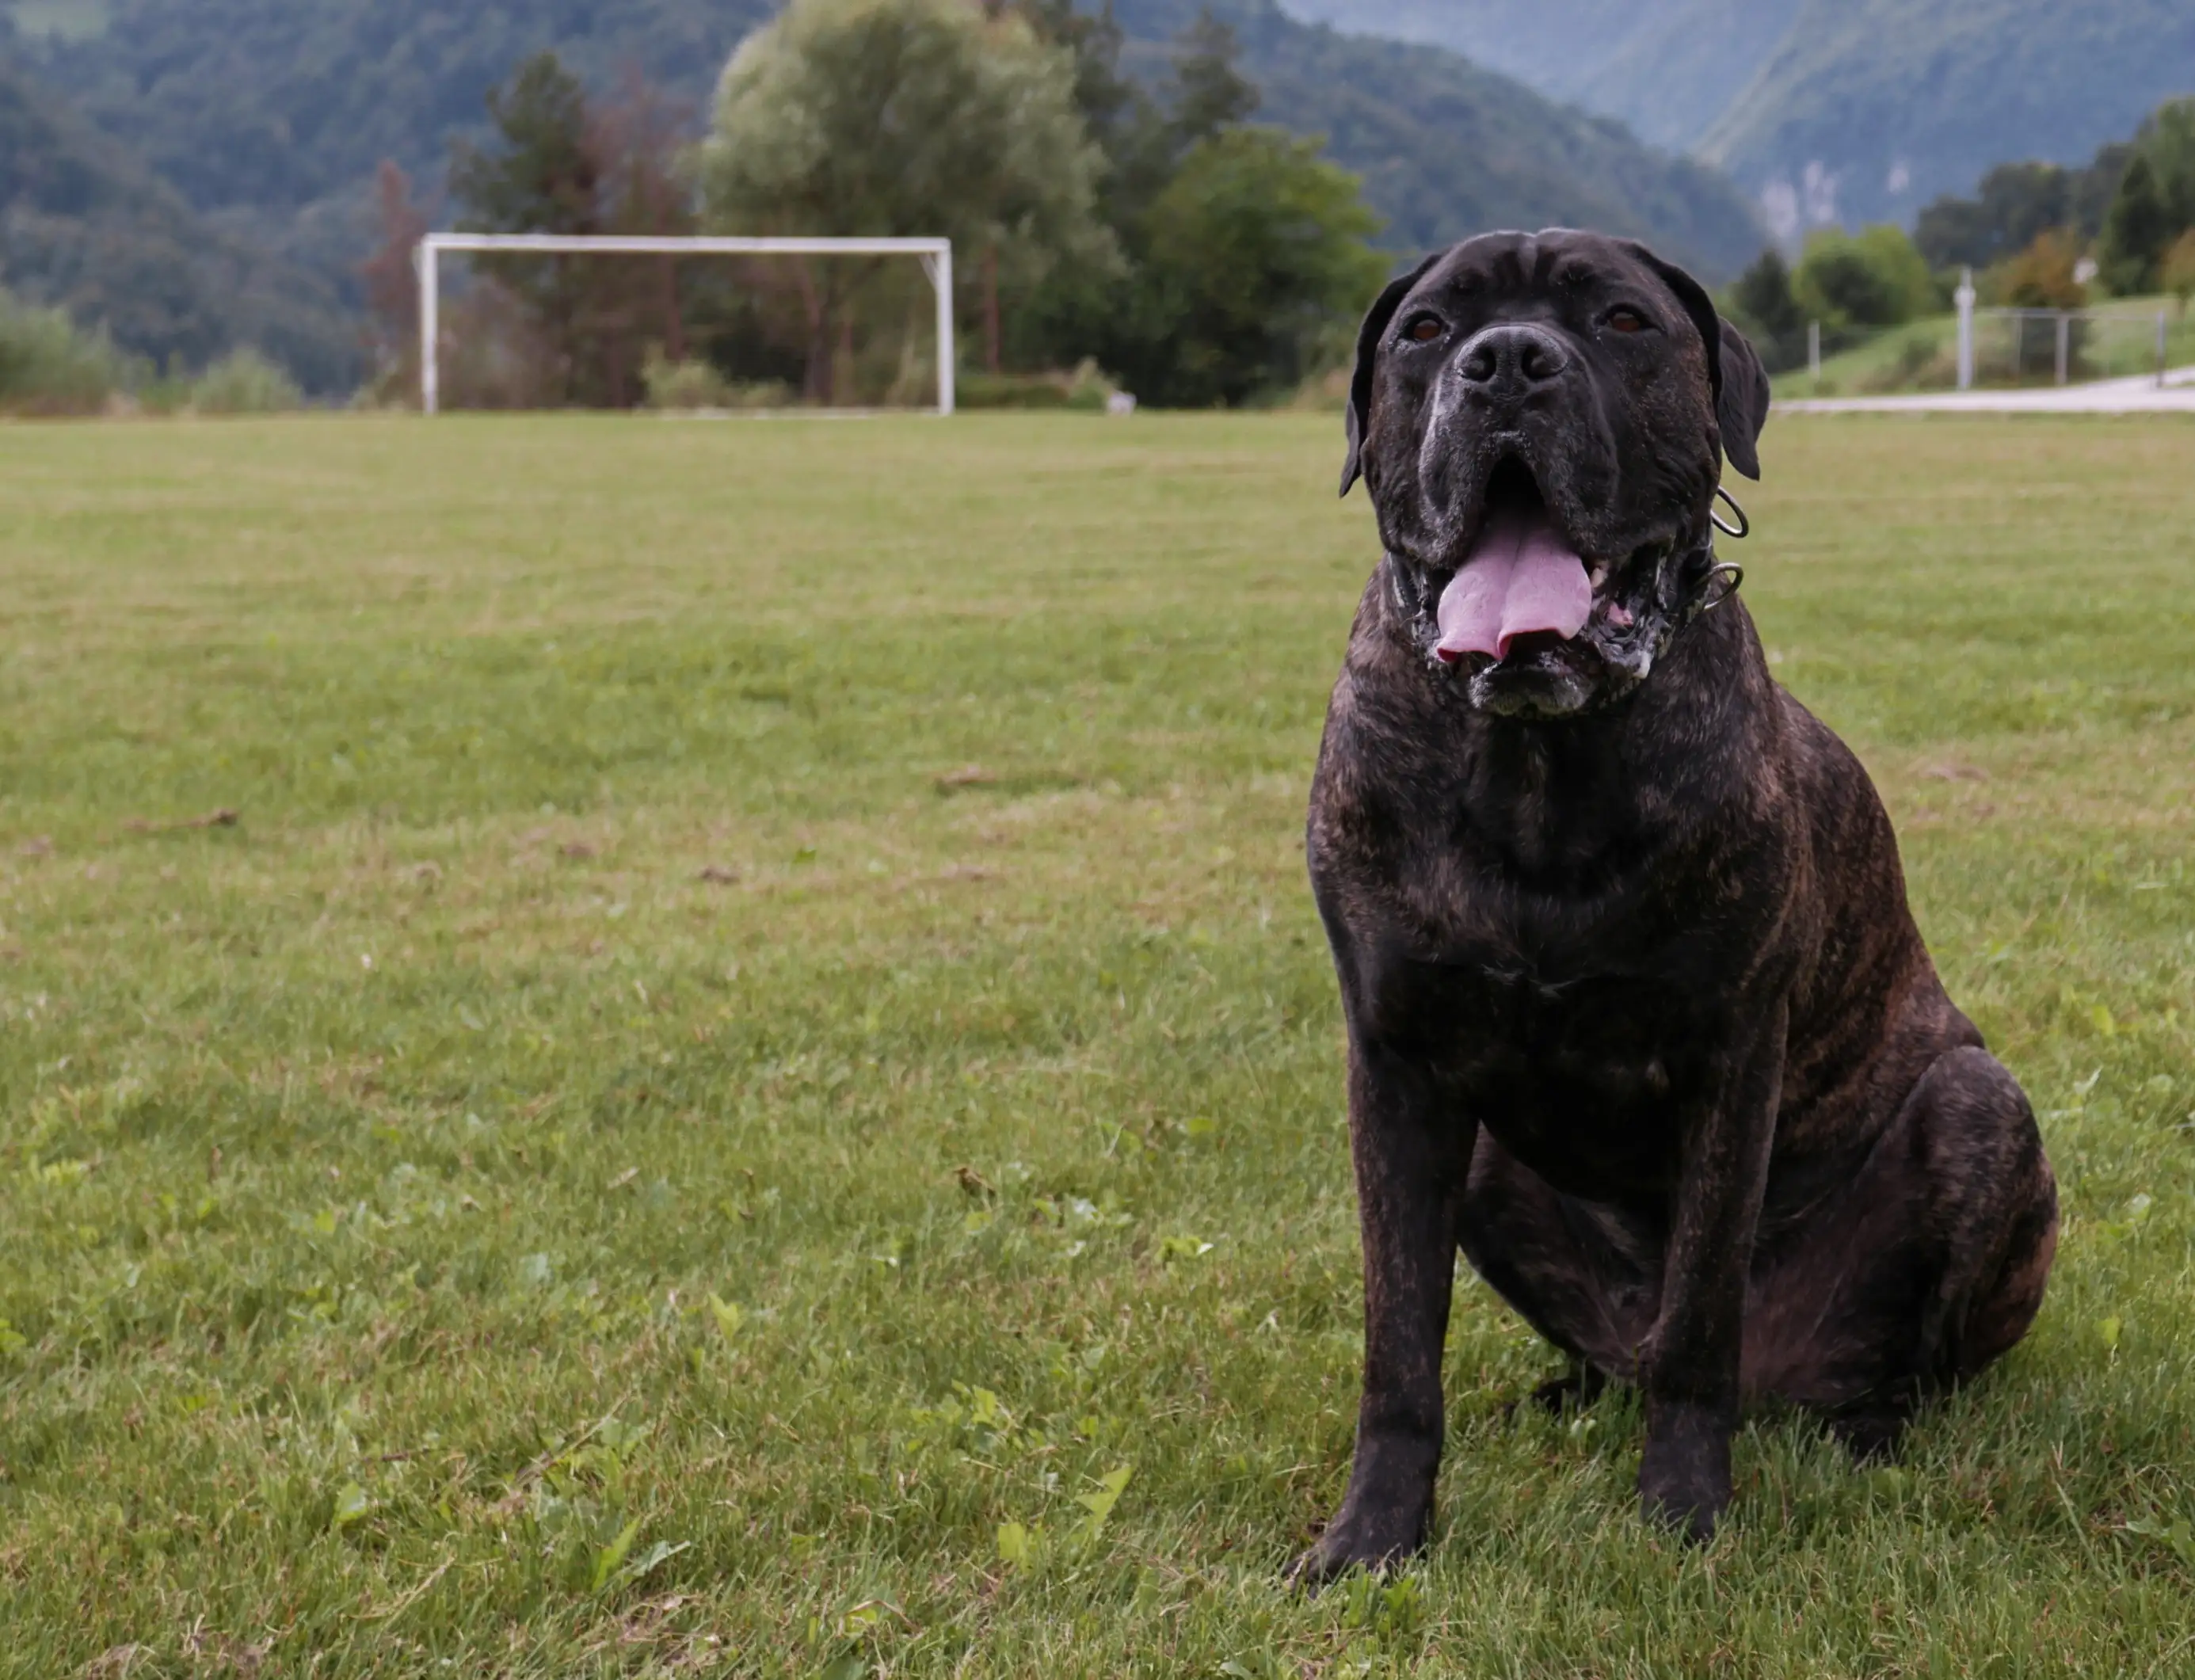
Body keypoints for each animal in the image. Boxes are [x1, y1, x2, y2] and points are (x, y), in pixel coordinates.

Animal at [1290, 226, 2045, 1572]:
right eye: (1427, 331)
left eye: (1620, 321)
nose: (1508, 362)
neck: (1538, 756)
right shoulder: (1396, 1066)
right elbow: (1397, 1345)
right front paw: (1372, 1537)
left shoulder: (1726, 1054)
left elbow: (1701, 1311)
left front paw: (1681, 1515)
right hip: (1486, 1163)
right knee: (1611, 1352)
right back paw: (1565, 1389)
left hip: (1980, 1108)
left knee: (1868, 1356)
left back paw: (1866, 1423)